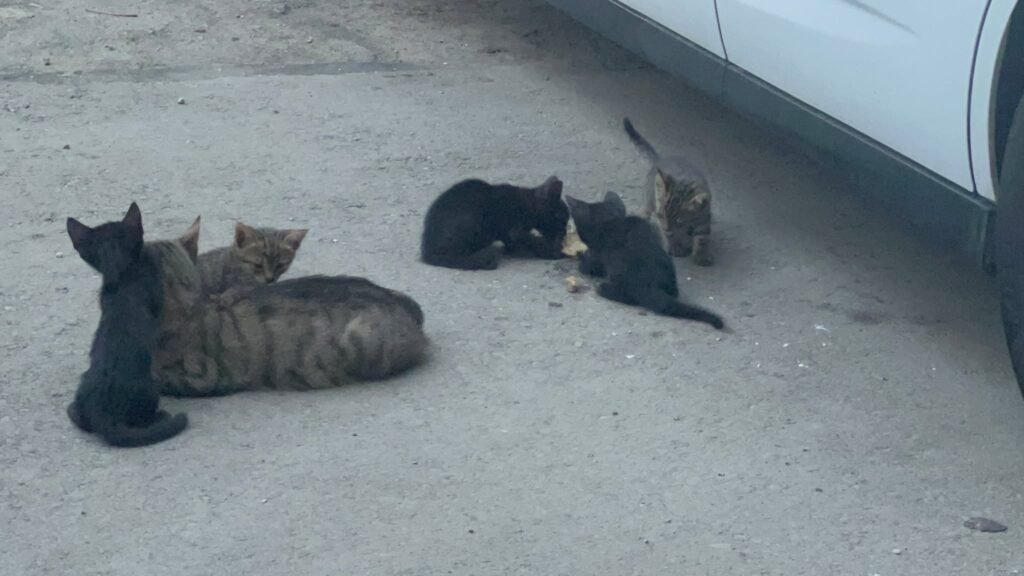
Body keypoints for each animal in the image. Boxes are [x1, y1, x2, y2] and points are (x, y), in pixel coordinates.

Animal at [420, 175, 569, 270]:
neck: (528, 203)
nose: (565, 232)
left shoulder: (508, 234)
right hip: (471, 223)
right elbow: (533, 241)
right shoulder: (515, 230)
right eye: (562, 220)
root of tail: (426, 252)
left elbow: (513, 241)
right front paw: (552, 251)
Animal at [565, 191, 725, 330]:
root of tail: (649, 285)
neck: (613, 221)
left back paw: (604, 288)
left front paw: (580, 255)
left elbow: (587, 266)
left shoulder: (597, 253)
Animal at [623, 117, 714, 266]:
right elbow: (669, 236)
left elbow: (703, 237)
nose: (667, 228)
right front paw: (674, 246)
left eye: (679, 221)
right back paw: (642, 216)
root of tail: (661, 160)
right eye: (661, 215)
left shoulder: (704, 217)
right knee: (646, 207)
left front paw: (702, 255)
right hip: (649, 197)